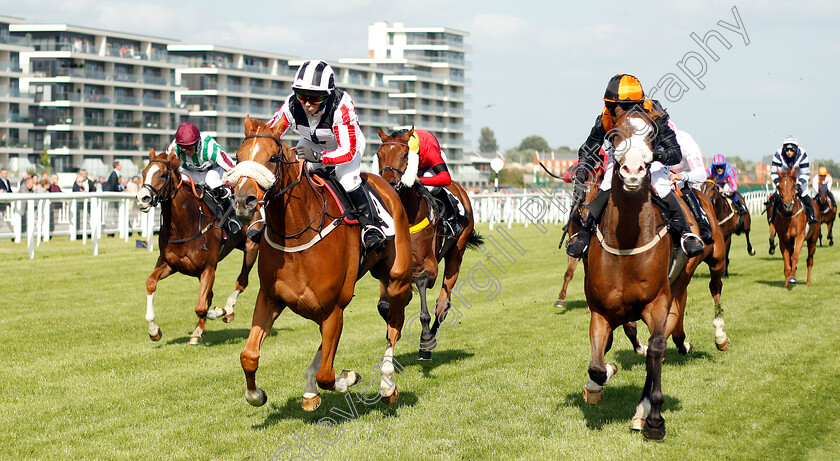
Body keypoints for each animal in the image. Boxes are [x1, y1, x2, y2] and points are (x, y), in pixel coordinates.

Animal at [135, 149, 260, 344]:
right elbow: (150, 282)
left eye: (162, 174)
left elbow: (202, 306)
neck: (184, 225)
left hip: (251, 247)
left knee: (242, 281)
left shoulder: (208, 268)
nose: (143, 198)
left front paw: (219, 311)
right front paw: (154, 330)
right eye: (143, 173)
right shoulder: (171, 264)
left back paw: (228, 310)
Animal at [226, 116, 414, 410]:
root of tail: (384, 183)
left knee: (393, 324)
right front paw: (256, 395)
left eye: (272, 157)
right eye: (238, 156)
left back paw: (386, 384)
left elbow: (328, 374)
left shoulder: (334, 307)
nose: (243, 201)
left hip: (396, 279)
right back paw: (310, 390)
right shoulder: (270, 297)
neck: (296, 233)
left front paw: (348, 378)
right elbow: (249, 355)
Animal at [374, 128, 480, 360]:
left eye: (405, 155)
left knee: (443, 303)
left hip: (456, 253)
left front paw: (425, 339)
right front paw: (393, 329)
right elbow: (385, 306)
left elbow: (422, 290)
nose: (390, 184)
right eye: (378, 154)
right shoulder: (389, 268)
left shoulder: (428, 265)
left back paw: (427, 345)